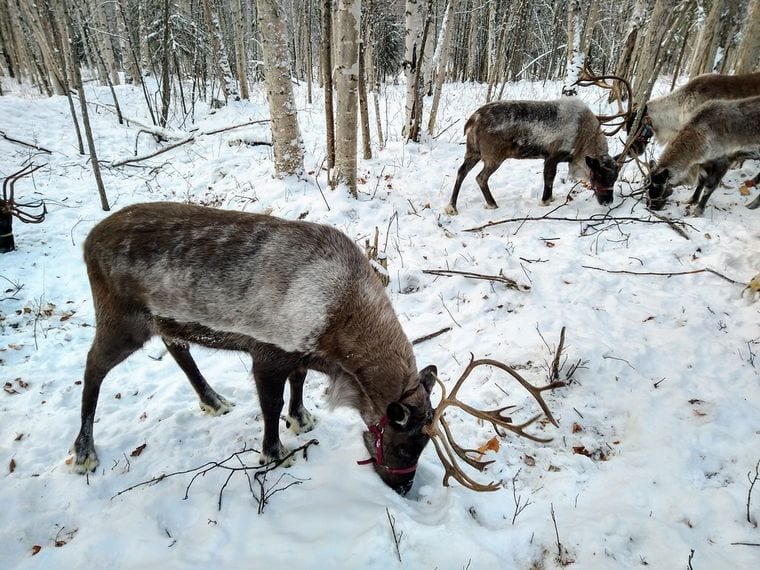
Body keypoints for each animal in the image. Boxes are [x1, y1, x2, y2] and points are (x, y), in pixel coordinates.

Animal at [72, 202, 565, 495]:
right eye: (405, 445)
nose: (403, 489)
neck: (342, 318)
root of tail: (87, 239)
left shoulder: (301, 354)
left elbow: (299, 384)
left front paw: (302, 417)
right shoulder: (267, 352)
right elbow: (270, 407)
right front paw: (274, 453)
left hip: (164, 321)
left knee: (179, 351)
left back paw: (213, 400)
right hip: (121, 319)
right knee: (92, 366)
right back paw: (84, 452)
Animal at [445, 98, 620, 215]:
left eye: (615, 178)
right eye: (598, 174)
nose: (607, 202)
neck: (584, 138)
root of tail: (474, 118)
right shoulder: (552, 156)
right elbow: (549, 178)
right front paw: (545, 201)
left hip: (473, 152)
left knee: (461, 172)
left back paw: (452, 207)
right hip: (493, 157)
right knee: (480, 177)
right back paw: (492, 204)